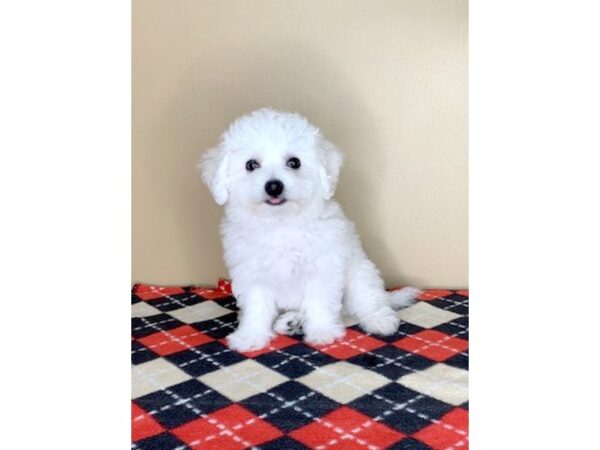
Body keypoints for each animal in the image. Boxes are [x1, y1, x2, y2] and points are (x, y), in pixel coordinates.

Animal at [199, 108, 420, 352]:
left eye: (294, 162)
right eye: (251, 165)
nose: (274, 186)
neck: (281, 224)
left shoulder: (322, 267)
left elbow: (319, 301)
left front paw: (323, 332)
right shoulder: (252, 274)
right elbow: (257, 307)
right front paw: (251, 336)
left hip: (360, 273)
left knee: (366, 300)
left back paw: (379, 320)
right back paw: (291, 321)